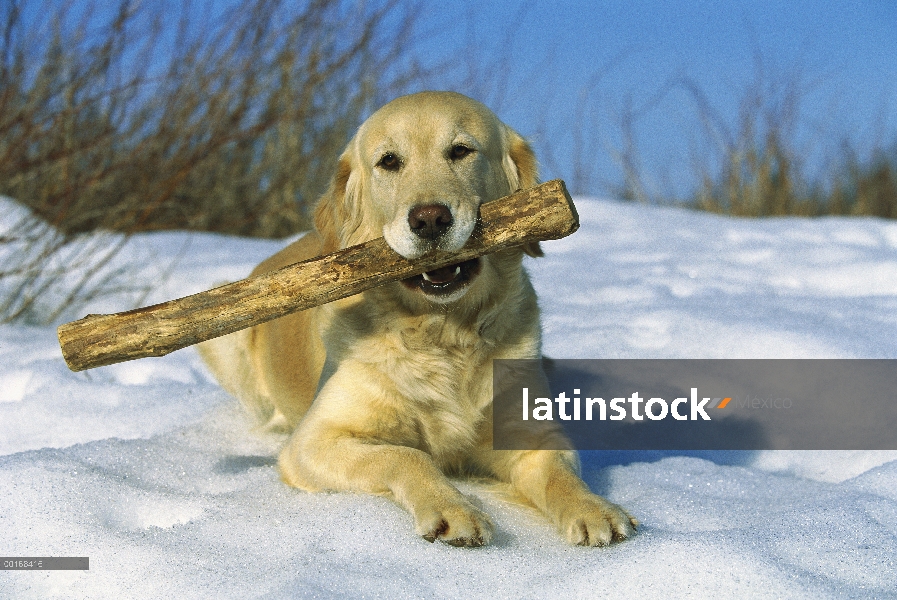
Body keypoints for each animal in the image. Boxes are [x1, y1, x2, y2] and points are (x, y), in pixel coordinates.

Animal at [201, 91, 636, 548]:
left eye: (461, 151)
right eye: (389, 161)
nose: (429, 219)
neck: (442, 333)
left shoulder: (529, 432)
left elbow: (558, 471)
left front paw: (593, 508)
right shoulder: (314, 442)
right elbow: (406, 455)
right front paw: (452, 509)